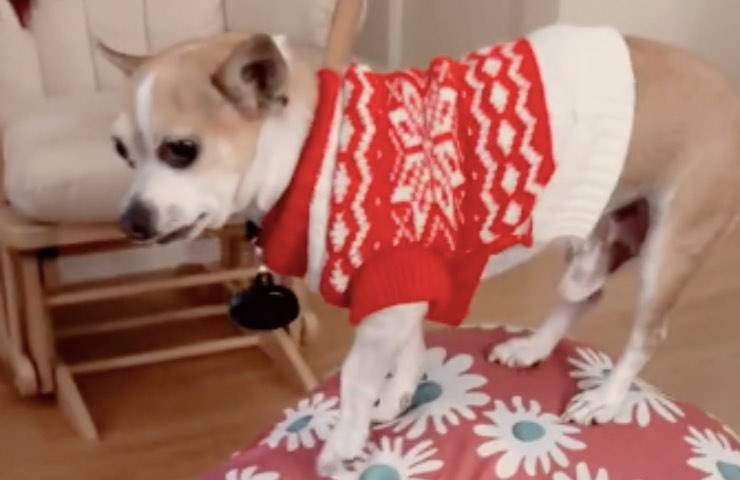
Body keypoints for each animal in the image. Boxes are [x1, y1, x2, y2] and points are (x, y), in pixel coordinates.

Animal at [102, 22, 740, 476]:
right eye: (121, 152)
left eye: (181, 150)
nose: (130, 220)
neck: (312, 144)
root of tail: (726, 87)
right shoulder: (402, 290)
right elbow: (409, 349)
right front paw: (399, 397)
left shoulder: (386, 300)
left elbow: (356, 379)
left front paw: (344, 442)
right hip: (593, 232)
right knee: (585, 295)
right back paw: (533, 347)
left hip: (668, 249)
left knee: (646, 334)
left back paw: (605, 399)